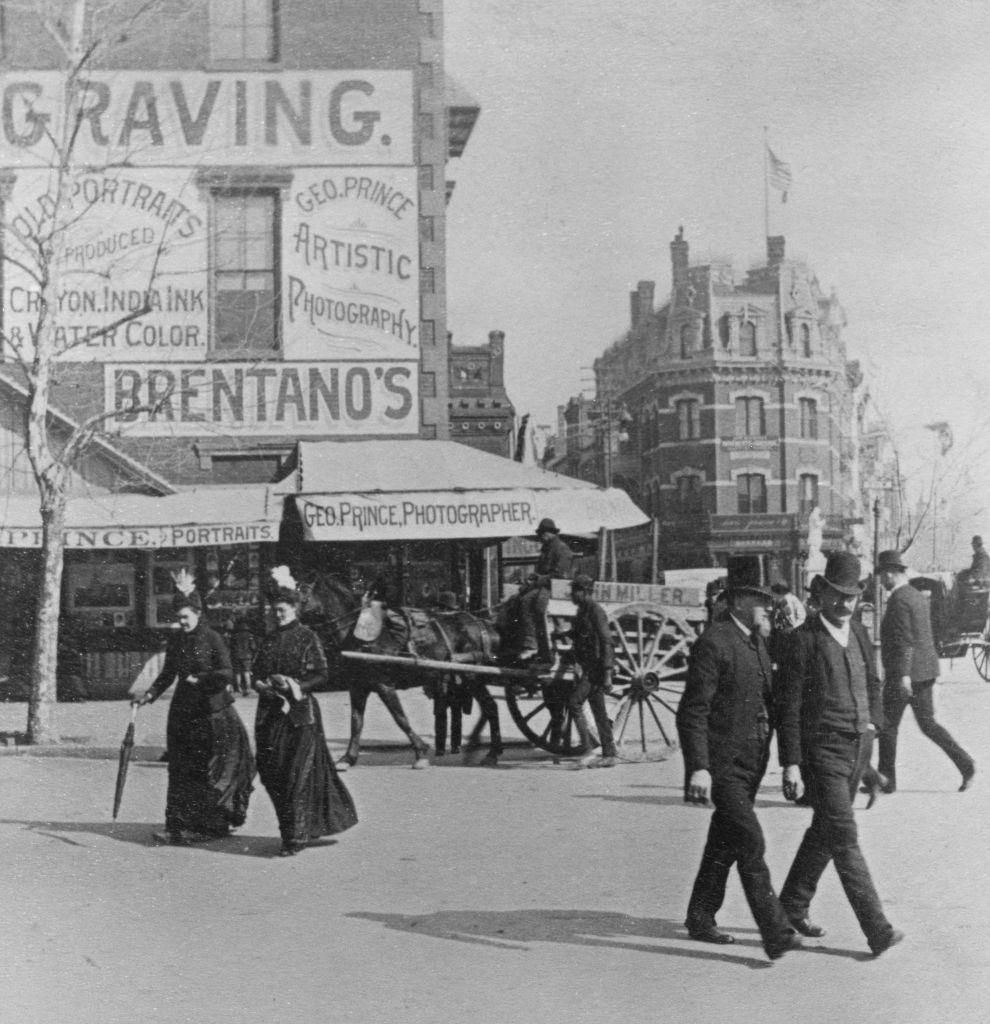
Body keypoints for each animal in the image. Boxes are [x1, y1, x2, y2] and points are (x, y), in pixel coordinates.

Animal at [300, 573, 503, 765]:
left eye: (302, 596)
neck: (357, 631)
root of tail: (481, 623)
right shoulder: (358, 686)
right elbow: (356, 722)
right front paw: (348, 758)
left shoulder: (384, 685)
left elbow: (400, 718)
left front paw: (420, 752)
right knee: (491, 707)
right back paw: (490, 751)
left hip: (472, 676)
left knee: (490, 706)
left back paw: (492, 752)